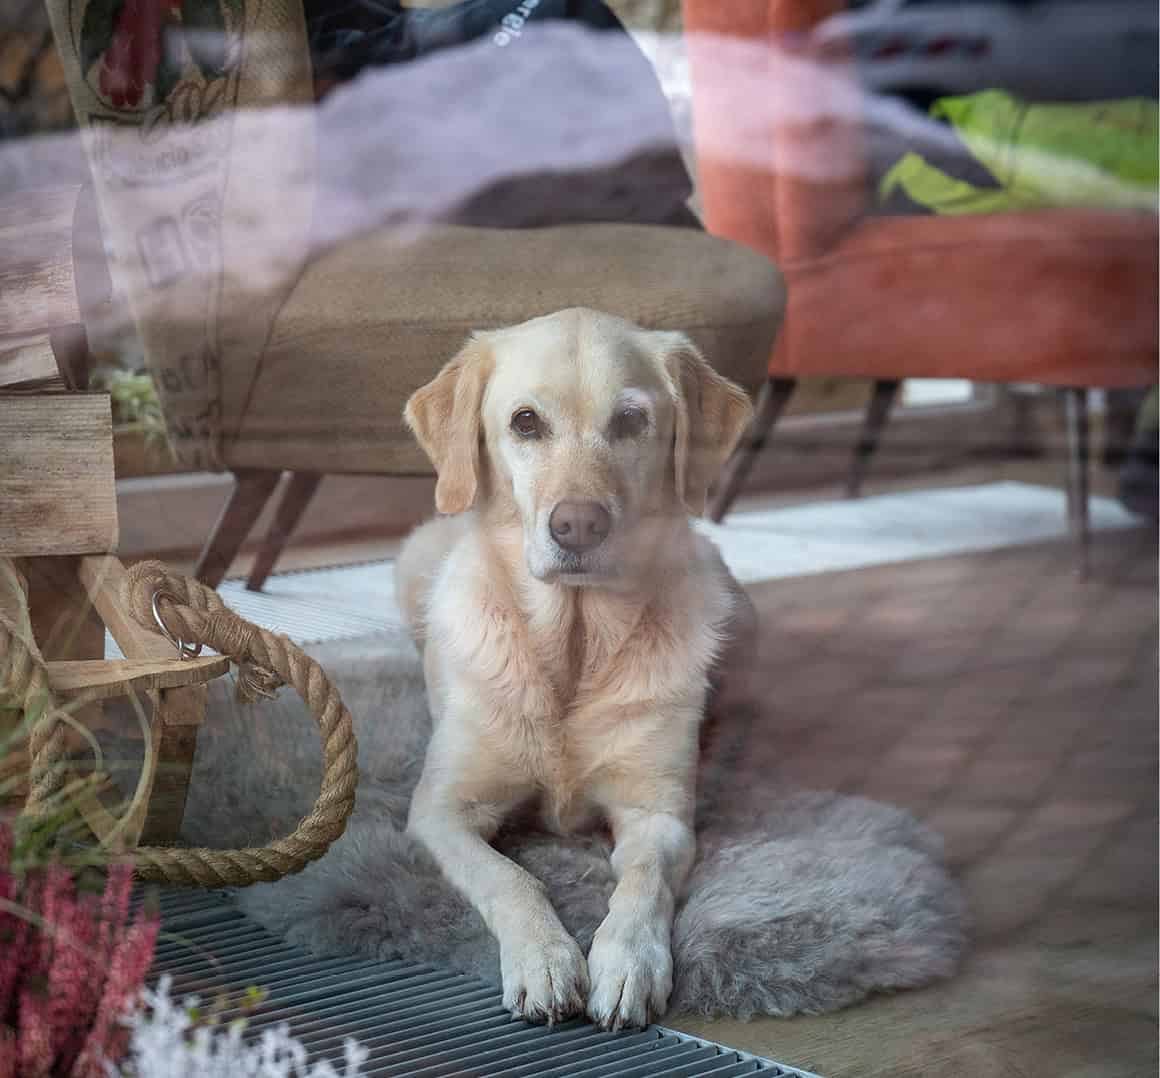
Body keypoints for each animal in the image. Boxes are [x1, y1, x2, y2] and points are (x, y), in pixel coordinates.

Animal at [399, 306, 756, 1030]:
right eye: (525, 422)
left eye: (631, 420)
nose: (579, 525)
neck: (574, 645)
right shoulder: (442, 809)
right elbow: (510, 877)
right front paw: (544, 958)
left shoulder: (659, 813)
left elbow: (643, 882)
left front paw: (627, 964)